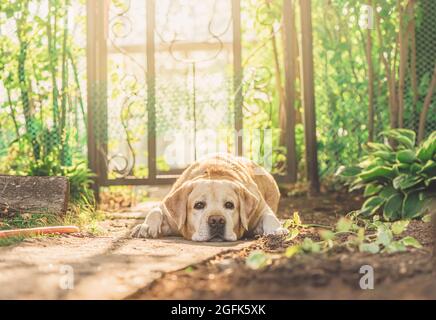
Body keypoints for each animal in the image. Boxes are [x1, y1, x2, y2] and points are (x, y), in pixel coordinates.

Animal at [131, 154, 288, 241]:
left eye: (229, 205)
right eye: (199, 205)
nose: (217, 221)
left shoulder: (260, 208)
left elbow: (270, 217)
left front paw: (277, 230)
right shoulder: (169, 211)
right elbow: (155, 211)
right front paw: (145, 227)